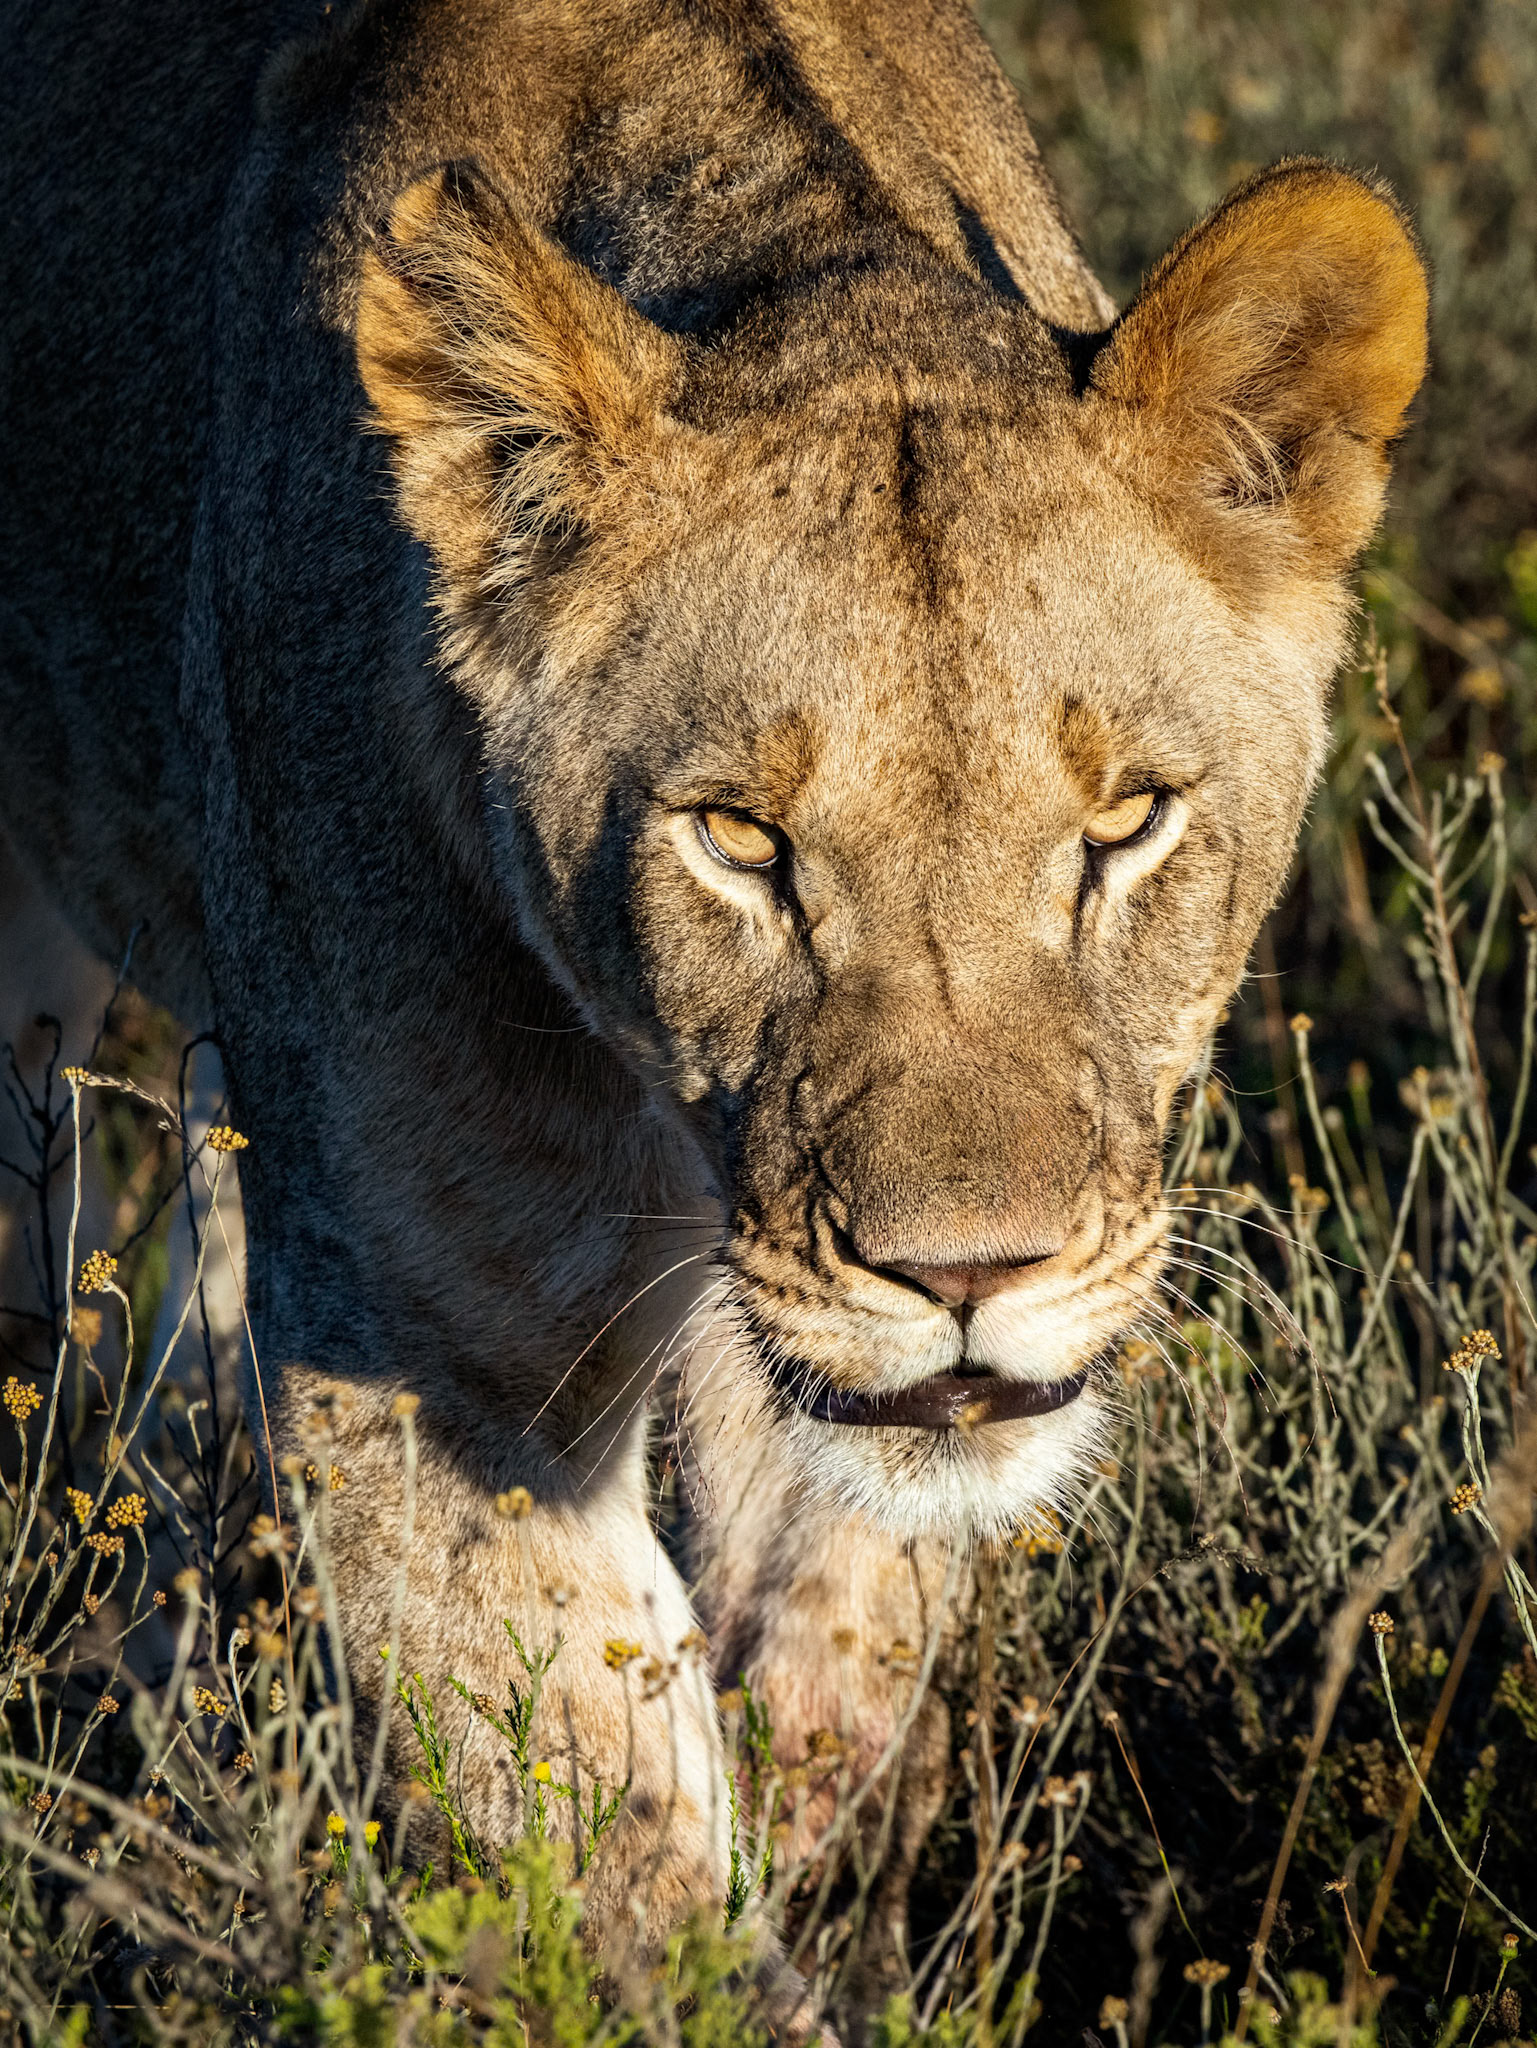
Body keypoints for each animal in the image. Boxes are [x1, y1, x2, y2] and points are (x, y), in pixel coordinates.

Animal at [1, 0, 1426, 2016]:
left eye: (1124, 823)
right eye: (739, 839)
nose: (966, 1279)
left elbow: (828, 1640)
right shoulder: (440, 1361)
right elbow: (610, 1854)